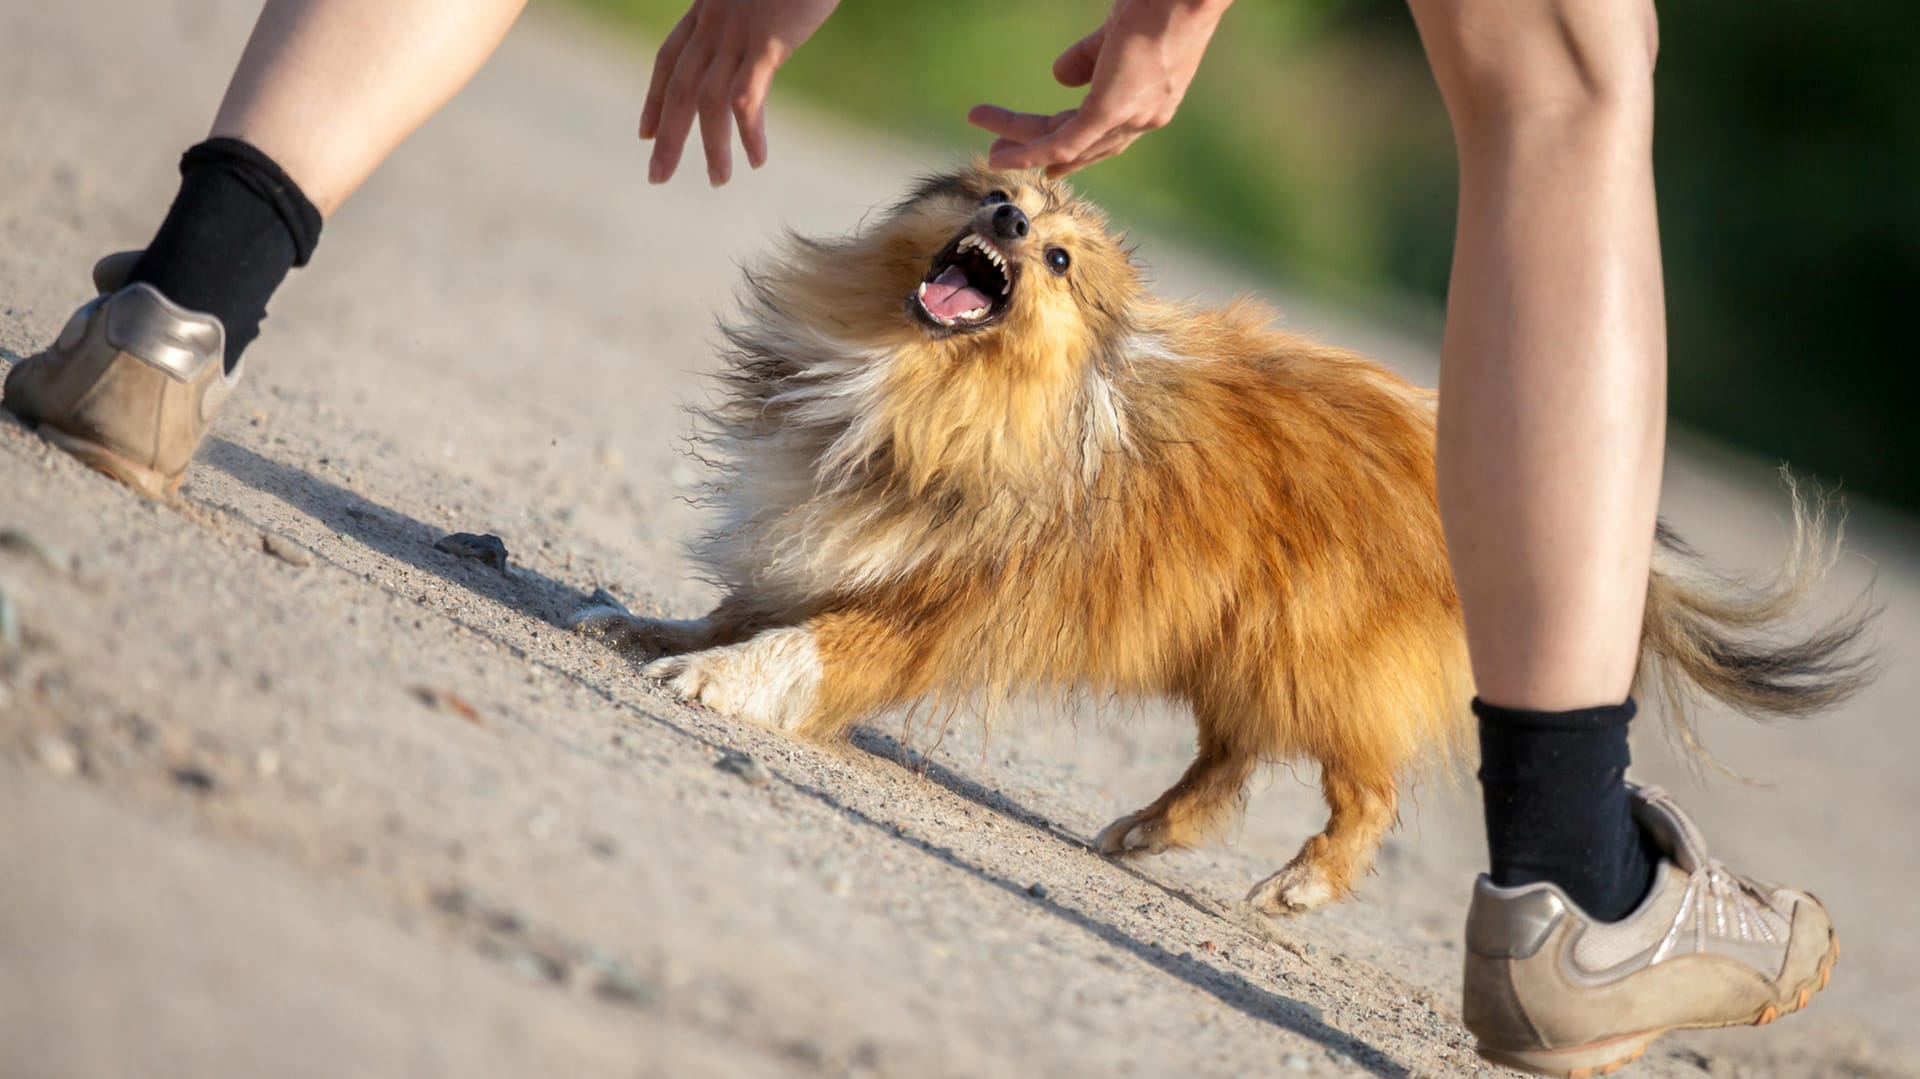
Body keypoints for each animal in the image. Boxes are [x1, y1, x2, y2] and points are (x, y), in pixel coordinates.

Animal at [579, 164, 1873, 910]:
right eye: (1004, 198)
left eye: (1059, 259)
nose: (1010, 217)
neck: (920, 384)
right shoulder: (826, 532)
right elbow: (746, 602)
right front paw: (652, 626)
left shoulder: (932, 603)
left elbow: (808, 646)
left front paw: (713, 681)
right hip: (1238, 639)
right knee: (1227, 761)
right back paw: (1147, 827)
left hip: (1314, 655)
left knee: (1367, 788)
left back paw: (1299, 884)